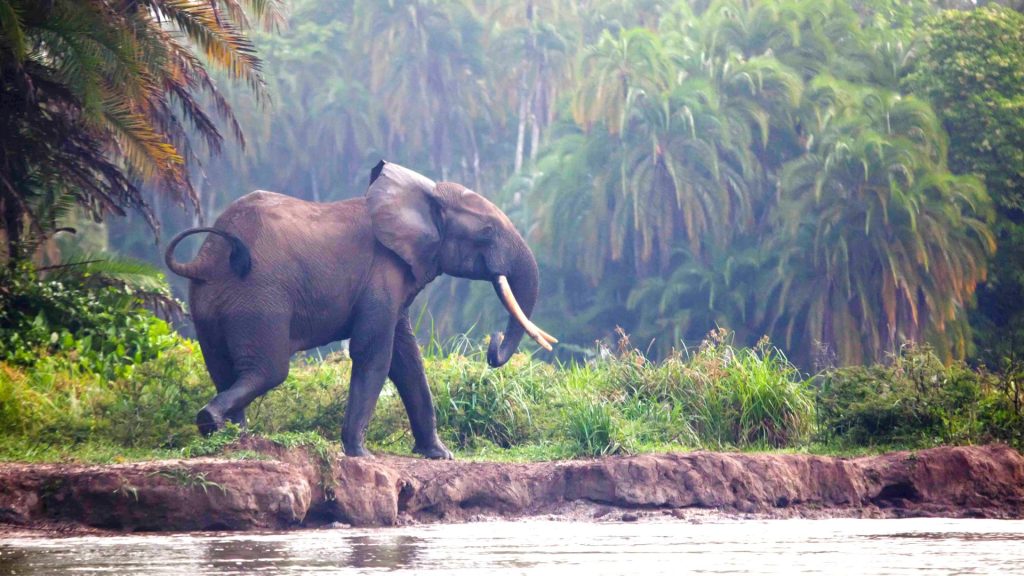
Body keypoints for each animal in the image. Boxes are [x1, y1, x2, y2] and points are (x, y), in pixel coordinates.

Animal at [163, 159, 557, 457]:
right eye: (487, 232)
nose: (493, 342)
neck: (425, 196)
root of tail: (205, 260)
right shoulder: (382, 272)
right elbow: (374, 353)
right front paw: (360, 454)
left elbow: (407, 360)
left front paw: (439, 455)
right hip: (258, 300)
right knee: (268, 370)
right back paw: (213, 424)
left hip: (210, 303)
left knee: (222, 367)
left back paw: (233, 440)